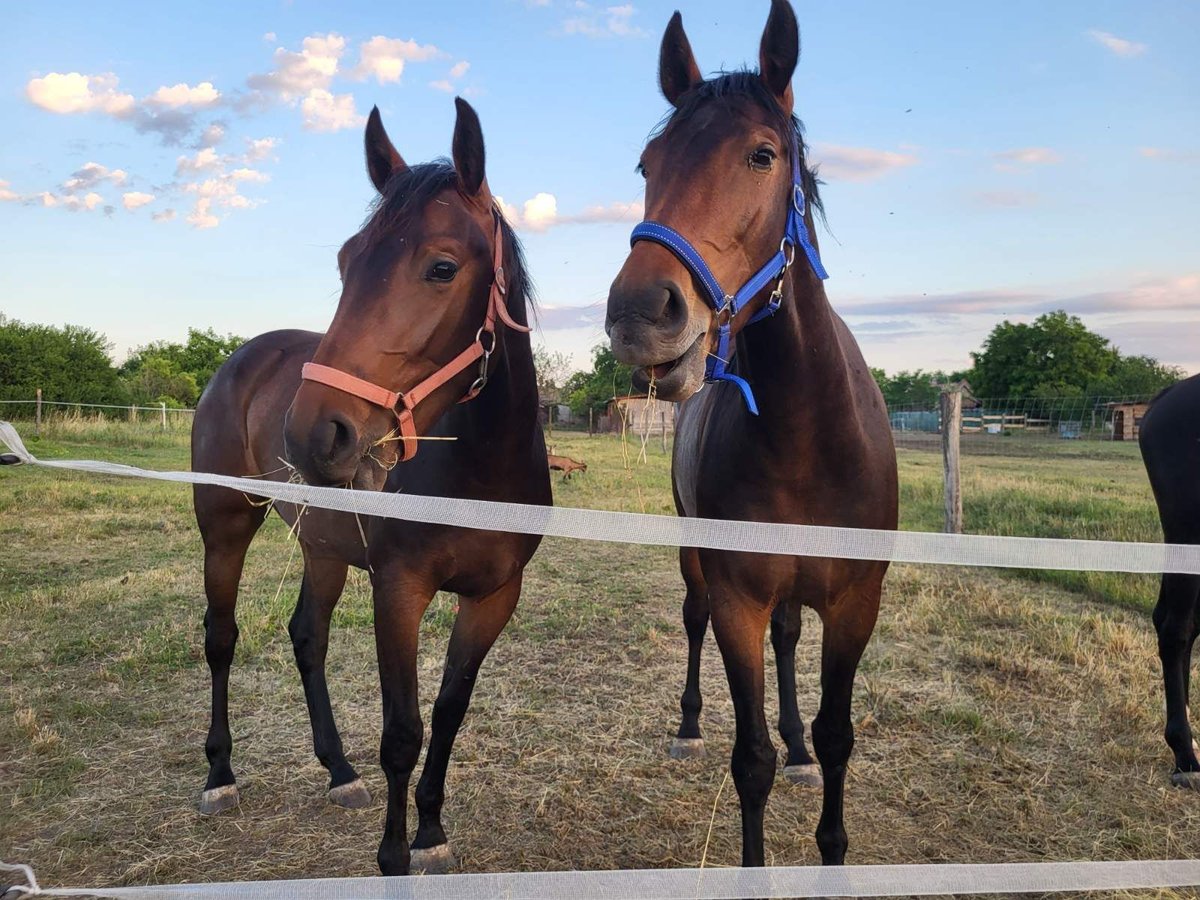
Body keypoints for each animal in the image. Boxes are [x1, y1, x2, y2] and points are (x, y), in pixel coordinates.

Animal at [191, 98, 550, 876]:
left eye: (441, 266)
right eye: (346, 260)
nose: (313, 433)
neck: (478, 477)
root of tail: (244, 356)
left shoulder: (494, 598)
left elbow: (447, 714)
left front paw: (431, 833)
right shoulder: (399, 588)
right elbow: (402, 732)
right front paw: (392, 856)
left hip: (322, 545)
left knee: (307, 636)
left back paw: (337, 771)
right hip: (227, 526)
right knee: (221, 637)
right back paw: (219, 776)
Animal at [605, 0, 898, 867]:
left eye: (762, 155)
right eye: (648, 164)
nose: (641, 313)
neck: (807, 433)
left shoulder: (857, 600)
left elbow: (837, 736)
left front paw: (828, 833)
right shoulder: (739, 597)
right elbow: (750, 756)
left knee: (792, 641)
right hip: (696, 556)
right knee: (694, 619)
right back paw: (688, 726)